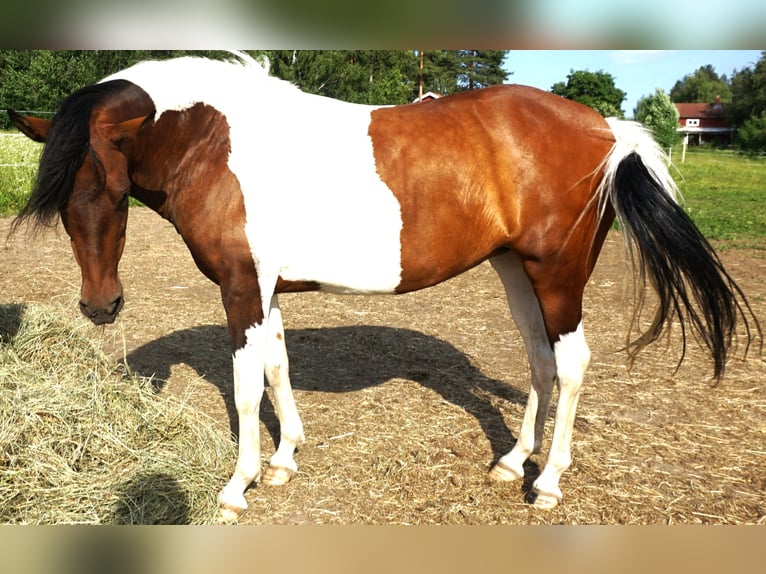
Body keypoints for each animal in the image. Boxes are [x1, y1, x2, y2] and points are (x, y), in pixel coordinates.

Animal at [8, 53, 759, 521]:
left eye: (113, 190)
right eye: (59, 199)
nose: (100, 306)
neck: (215, 140)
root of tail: (608, 129)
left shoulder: (241, 287)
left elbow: (248, 387)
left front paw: (237, 486)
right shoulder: (265, 288)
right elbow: (279, 368)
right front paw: (284, 461)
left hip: (557, 273)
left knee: (571, 364)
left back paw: (547, 483)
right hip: (515, 269)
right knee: (540, 362)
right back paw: (512, 462)